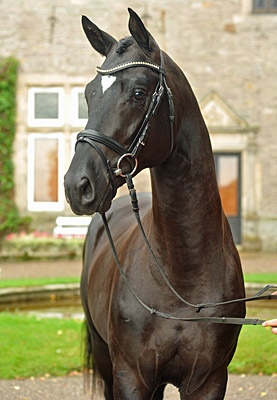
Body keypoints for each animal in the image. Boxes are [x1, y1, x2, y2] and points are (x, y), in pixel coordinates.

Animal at [64, 9, 244, 400]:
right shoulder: (131, 376)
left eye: (138, 92)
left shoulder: (209, 381)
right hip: (104, 358)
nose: (76, 185)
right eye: (88, 94)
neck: (182, 274)